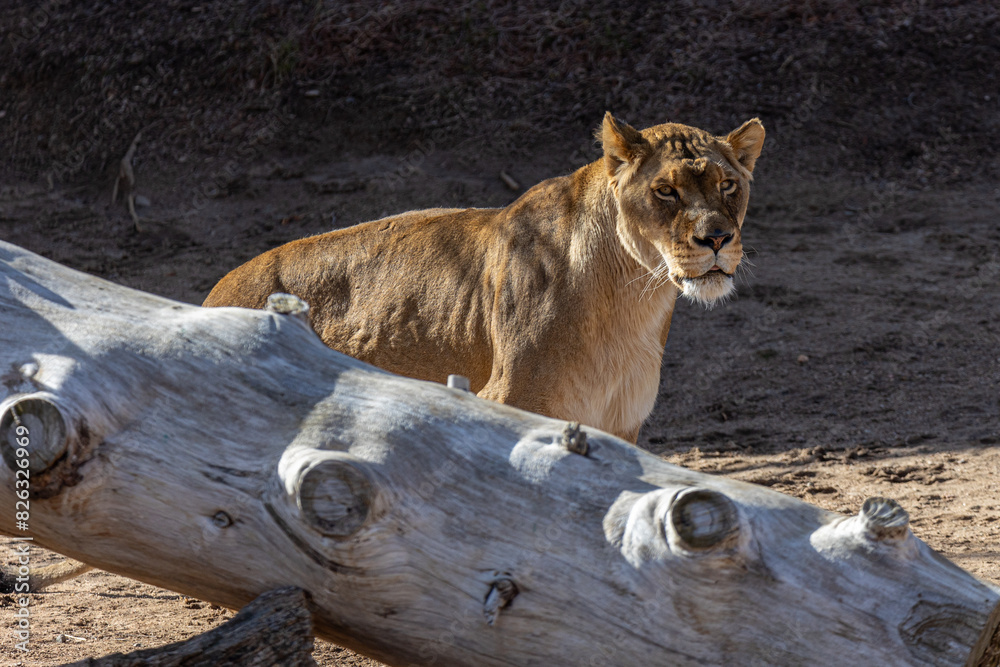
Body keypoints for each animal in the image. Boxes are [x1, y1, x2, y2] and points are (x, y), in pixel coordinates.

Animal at [204, 113, 765, 443]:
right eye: (665, 190)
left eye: (728, 185)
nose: (717, 238)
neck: (629, 300)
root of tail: (214, 292)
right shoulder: (508, 400)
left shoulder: (620, 425)